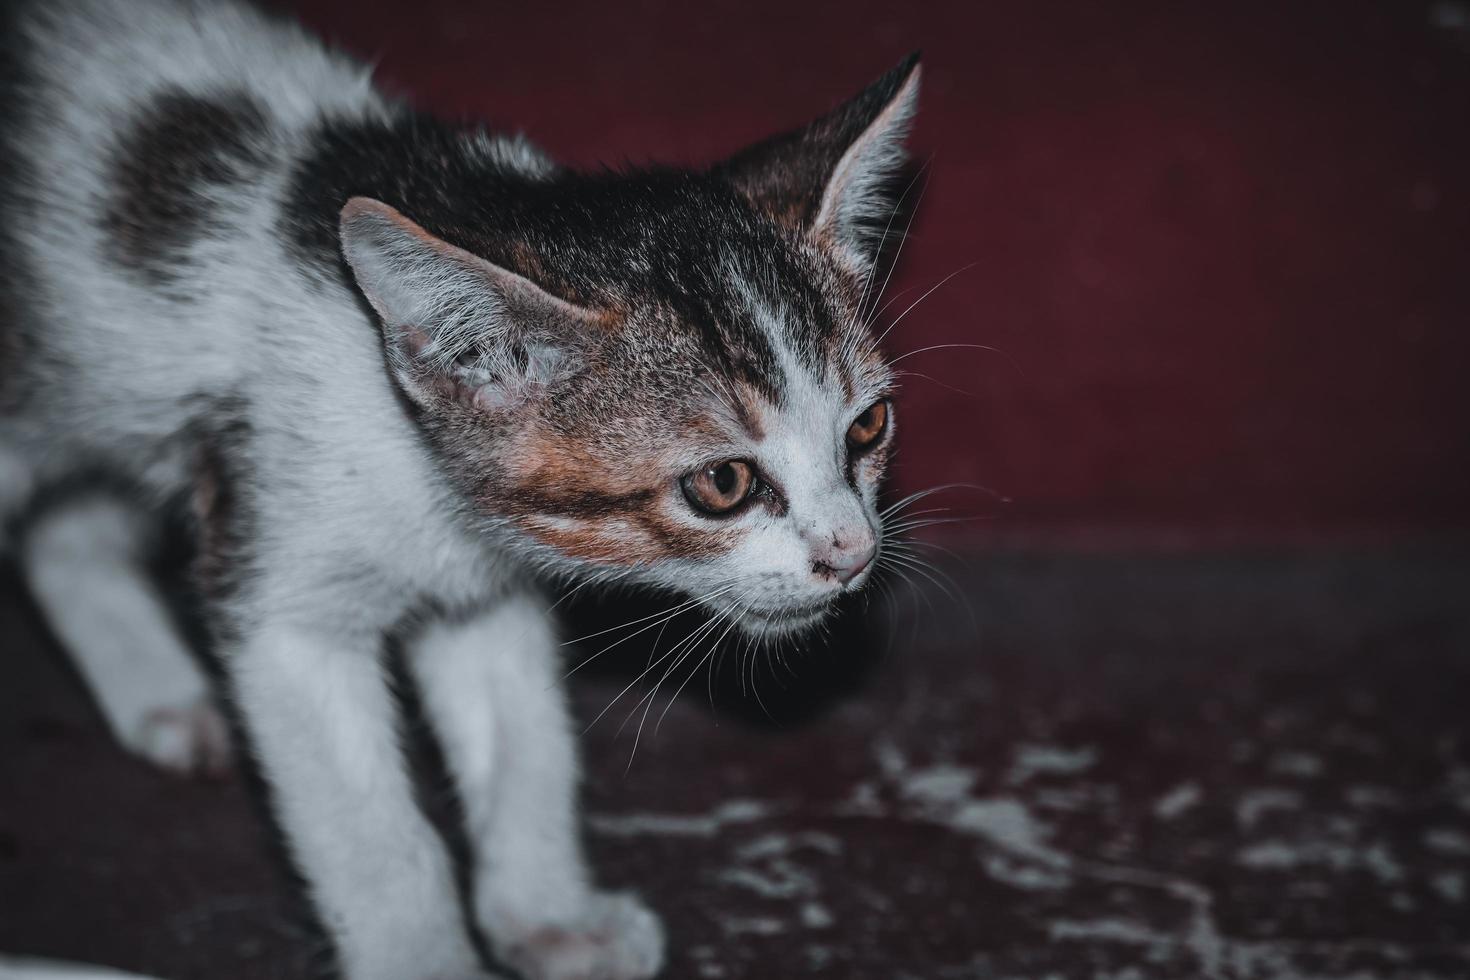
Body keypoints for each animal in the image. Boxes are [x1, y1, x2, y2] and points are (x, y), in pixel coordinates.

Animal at [0, 1, 917, 980]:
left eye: (868, 428)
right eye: (724, 482)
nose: (853, 552)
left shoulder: (483, 586)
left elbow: (526, 746)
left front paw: (551, 915)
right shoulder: (284, 591)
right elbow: (377, 838)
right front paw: (422, 953)